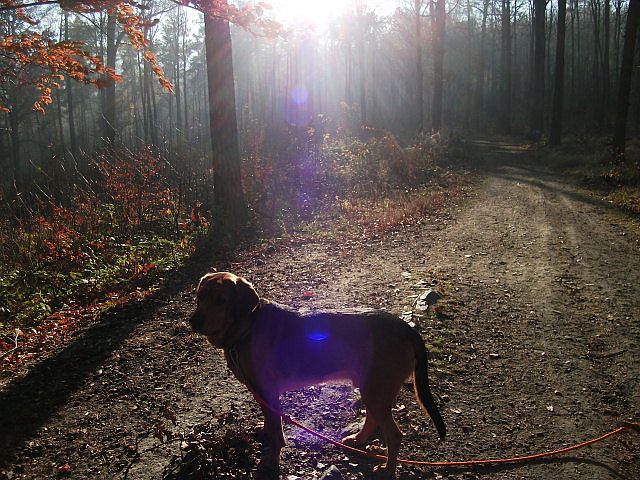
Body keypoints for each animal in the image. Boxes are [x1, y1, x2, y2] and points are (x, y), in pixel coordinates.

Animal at [190, 270, 444, 476]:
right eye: (199, 297)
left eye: (221, 301)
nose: (194, 321)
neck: (247, 328)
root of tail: (406, 328)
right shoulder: (260, 392)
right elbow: (269, 422)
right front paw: (264, 431)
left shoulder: (269, 392)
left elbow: (277, 433)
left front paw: (272, 460)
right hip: (371, 388)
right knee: (373, 420)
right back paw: (359, 441)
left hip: (376, 391)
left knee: (394, 434)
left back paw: (387, 469)